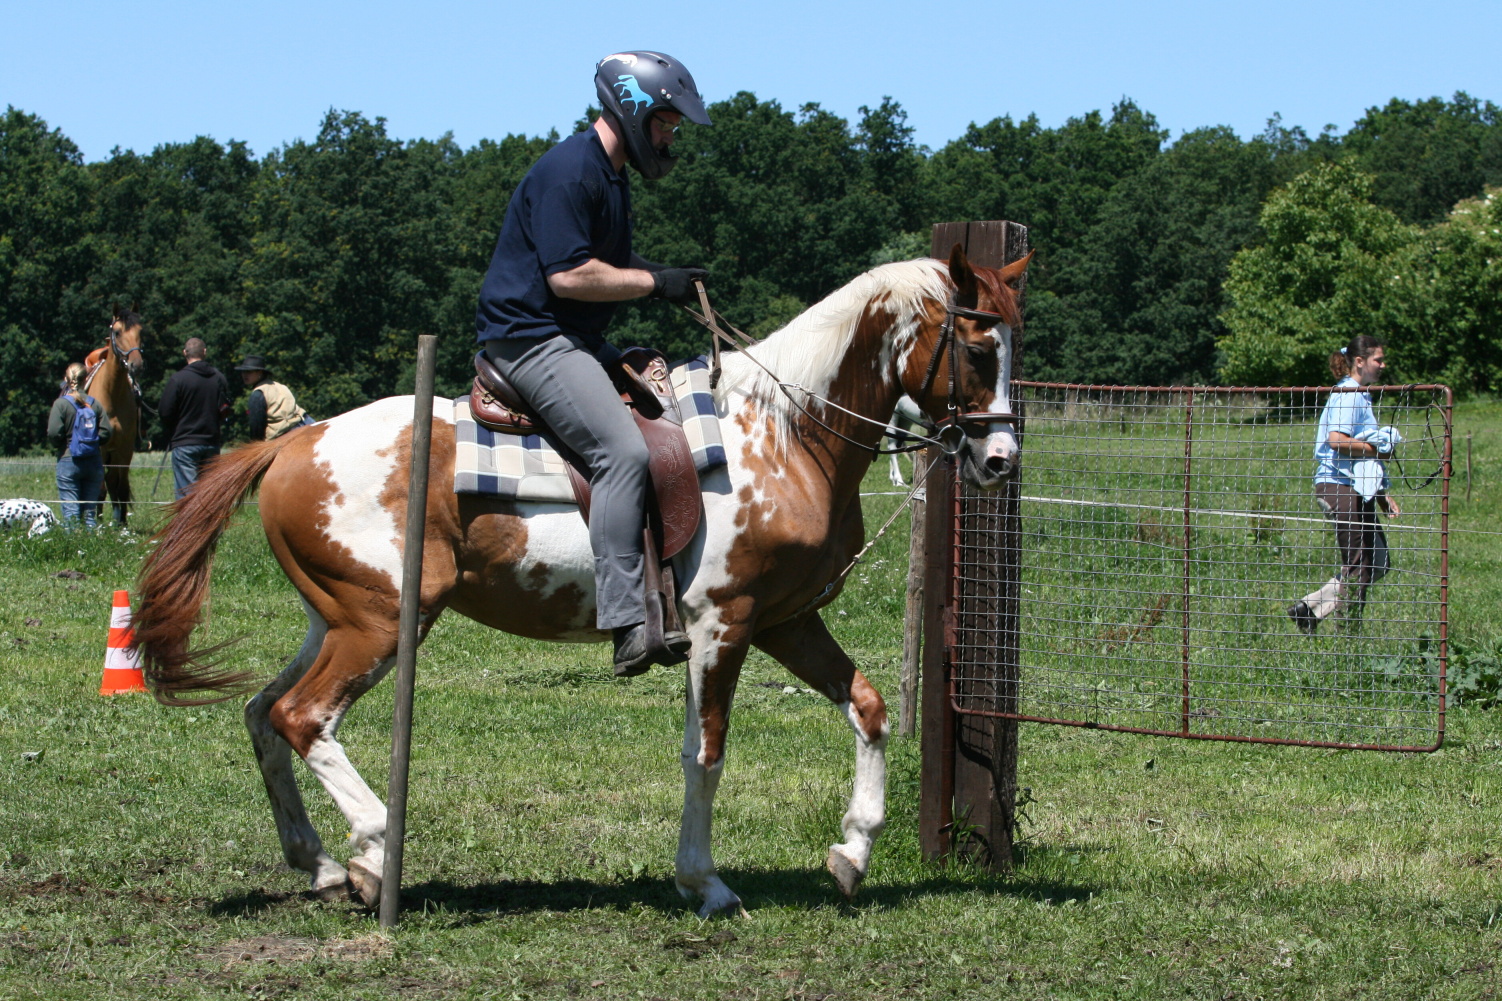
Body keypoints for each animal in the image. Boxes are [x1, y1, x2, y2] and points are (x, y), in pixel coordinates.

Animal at [82, 309, 144, 523]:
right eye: (117, 332)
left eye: (140, 331)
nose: (136, 364)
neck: (112, 392)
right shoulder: (100, 449)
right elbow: (99, 488)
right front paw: (97, 523)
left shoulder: (125, 450)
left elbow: (121, 486)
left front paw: (123, 523)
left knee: (112, 481)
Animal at [132, 247, 1033, 913]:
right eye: (979, 348)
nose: (999, 459)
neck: (780, 433)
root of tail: (293, 443)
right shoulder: (723, 624)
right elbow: (706, 752)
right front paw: (705, 881)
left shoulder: (783, 619)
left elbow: (870, 708)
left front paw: (852, 849)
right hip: (384, 622)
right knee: (301, 716)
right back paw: (374, 848)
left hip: (339, 618)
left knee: (262, 714)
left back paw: (319, 861)